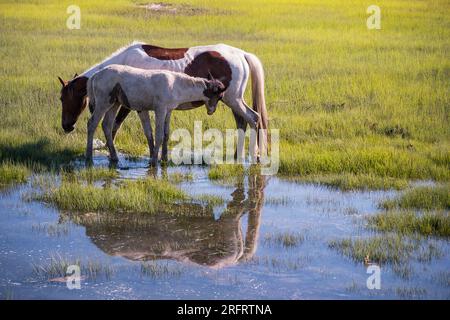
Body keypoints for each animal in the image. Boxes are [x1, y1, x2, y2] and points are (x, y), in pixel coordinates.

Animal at [57, 42, 268, 157]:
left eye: (63, 99)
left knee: (253, 119)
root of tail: (241, 54)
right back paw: (237, 155)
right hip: (233, 101)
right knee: (242, 122)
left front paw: (111, 153)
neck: (123, 63)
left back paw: (252, 155)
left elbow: (117, 127)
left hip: (234, 100)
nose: (66, 126)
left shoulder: (131, 106)